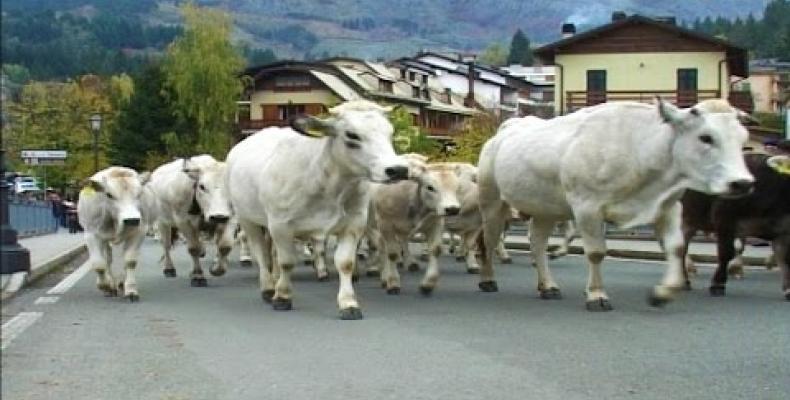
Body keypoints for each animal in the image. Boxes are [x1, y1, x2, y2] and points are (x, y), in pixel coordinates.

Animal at [78, 166, 155, 300]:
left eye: (139, 194)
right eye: (109, 195)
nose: (131, 220)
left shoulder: (139, 231)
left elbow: (130, 260)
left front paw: (130, 290)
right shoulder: (91, 234)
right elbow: (99, 264)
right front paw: (105, 286)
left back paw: (120, 283)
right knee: (107, 259)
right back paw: (111, 284)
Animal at [148, 154, 234, 288]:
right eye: (202, 186)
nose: (218, 217)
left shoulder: (230, 217)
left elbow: (225, 246)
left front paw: (216, 269)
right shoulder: (183, 221)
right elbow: (193, 248)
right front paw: (198, 276)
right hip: (163, 222)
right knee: (166, 245)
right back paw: (169, 268)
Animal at [226, 100, 412, 318]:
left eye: (390, 132)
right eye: (351, 135)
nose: (398, 169)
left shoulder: (354, 223)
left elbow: (345, 263)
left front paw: (349, 303)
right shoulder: (281, 225)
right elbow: (287, 261)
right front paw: (282, 297)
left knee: (271, 253)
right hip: (248, 219)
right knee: (262, 254)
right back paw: (268, 288)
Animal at [476, 98, 756, 310]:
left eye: (743, 139)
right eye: (705, 137)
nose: (742, 183)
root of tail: (503, 131)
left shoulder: (668, 206)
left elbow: (676, 248)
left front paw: (663, 292)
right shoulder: (587, 206)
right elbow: (596, 252)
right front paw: (597, 295)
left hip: (545, 208)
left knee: (537, 243)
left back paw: (548, 285)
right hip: (492, 202)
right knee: (489, 241)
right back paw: (488, 279)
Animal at [680, 153, 790, 300]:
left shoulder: (783, 229)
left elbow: (785, 258)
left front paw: (788, 289)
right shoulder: (724, 219)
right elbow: (726, 253)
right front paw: (718, 284)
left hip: (689, 218)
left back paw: (683, 280)